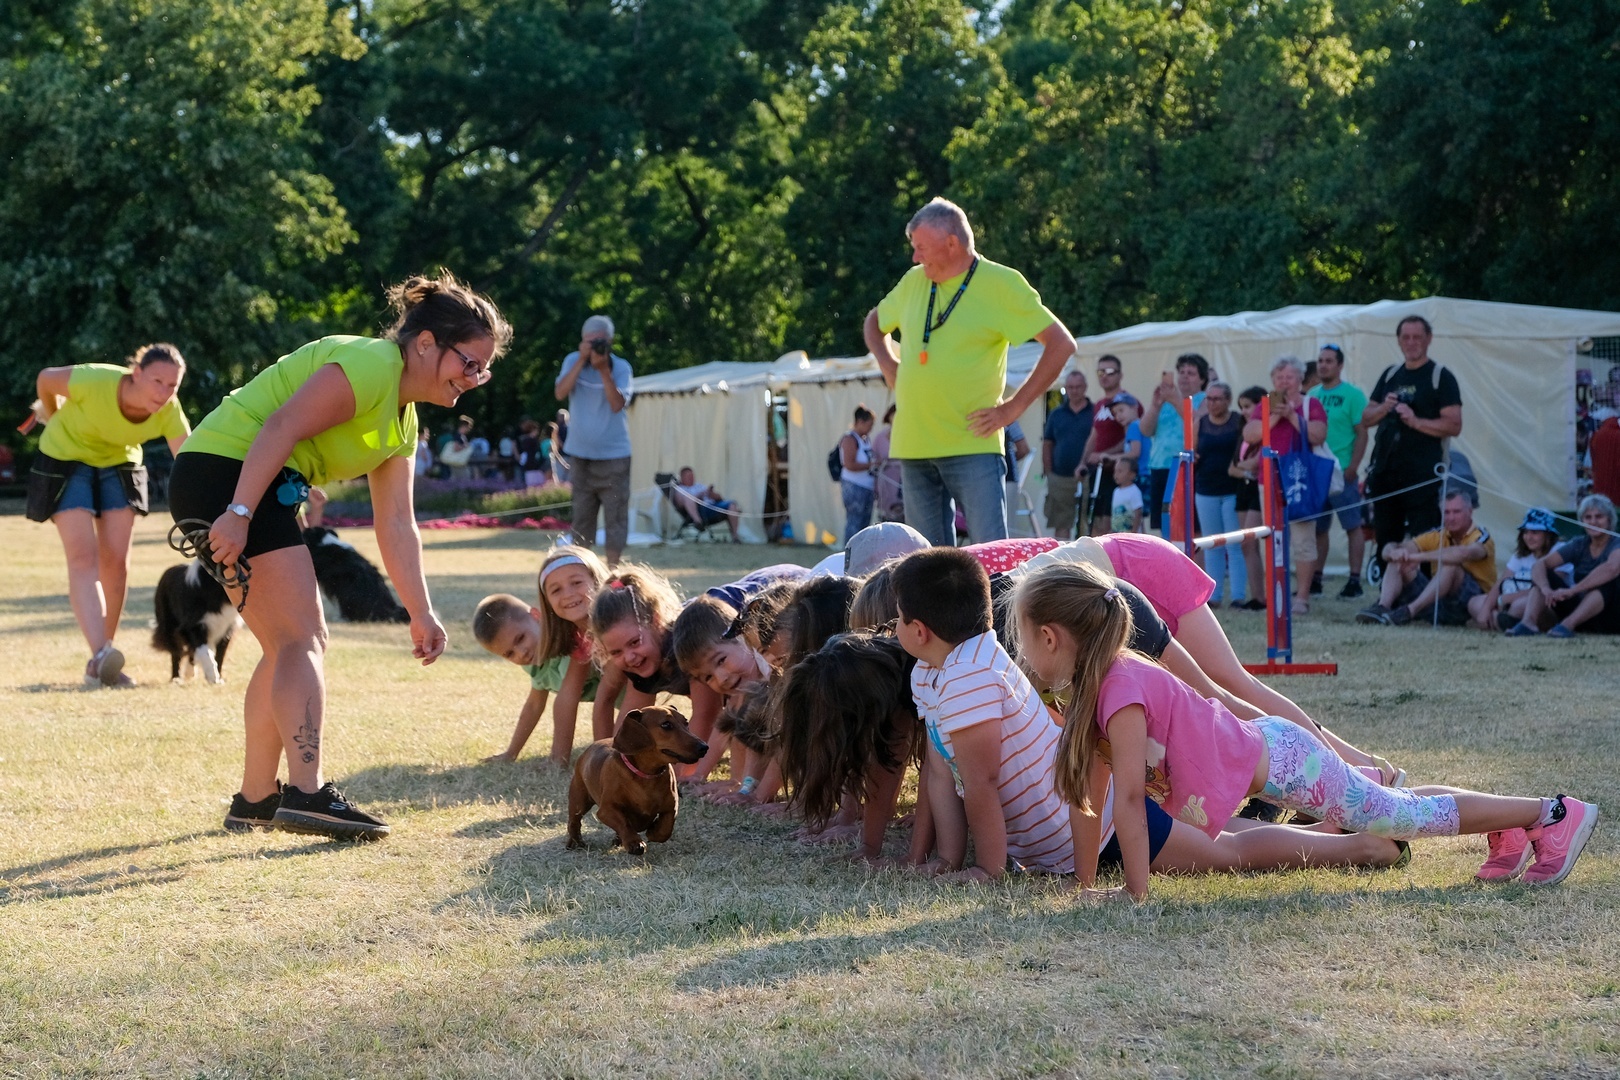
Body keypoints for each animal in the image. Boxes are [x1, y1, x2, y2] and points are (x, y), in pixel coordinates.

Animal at [567, 706, 708, 854]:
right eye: (666, 725)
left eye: (686, 722)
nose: (704, 747)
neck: (647, 776)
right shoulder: (606, 810)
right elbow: (623, 823)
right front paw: (634, 842)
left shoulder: (671, 807)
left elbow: (666, 829)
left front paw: (654, 831)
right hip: (579, 800)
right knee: (574, 821)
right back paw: (575, 842)